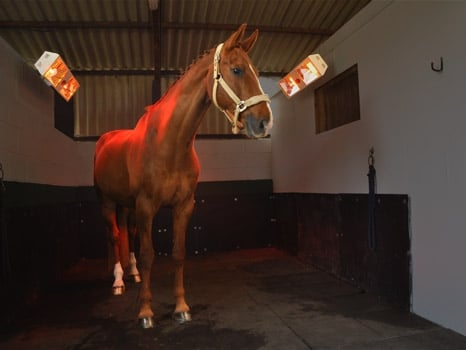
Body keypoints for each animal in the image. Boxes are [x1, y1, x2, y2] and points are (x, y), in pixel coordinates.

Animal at [93, 24, 274, 328]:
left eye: (258, 73)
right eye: (237, 70)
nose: (264, 122)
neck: (169, 144)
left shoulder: (183, 205)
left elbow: (178, 254)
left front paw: (181, 307)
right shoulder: (146, 206)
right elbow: (149, 255)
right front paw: (145, 312)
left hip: (127, 207)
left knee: (128, 233)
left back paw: (132, 275)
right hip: (108, 203)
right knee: (115, 236)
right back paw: (118, 282)